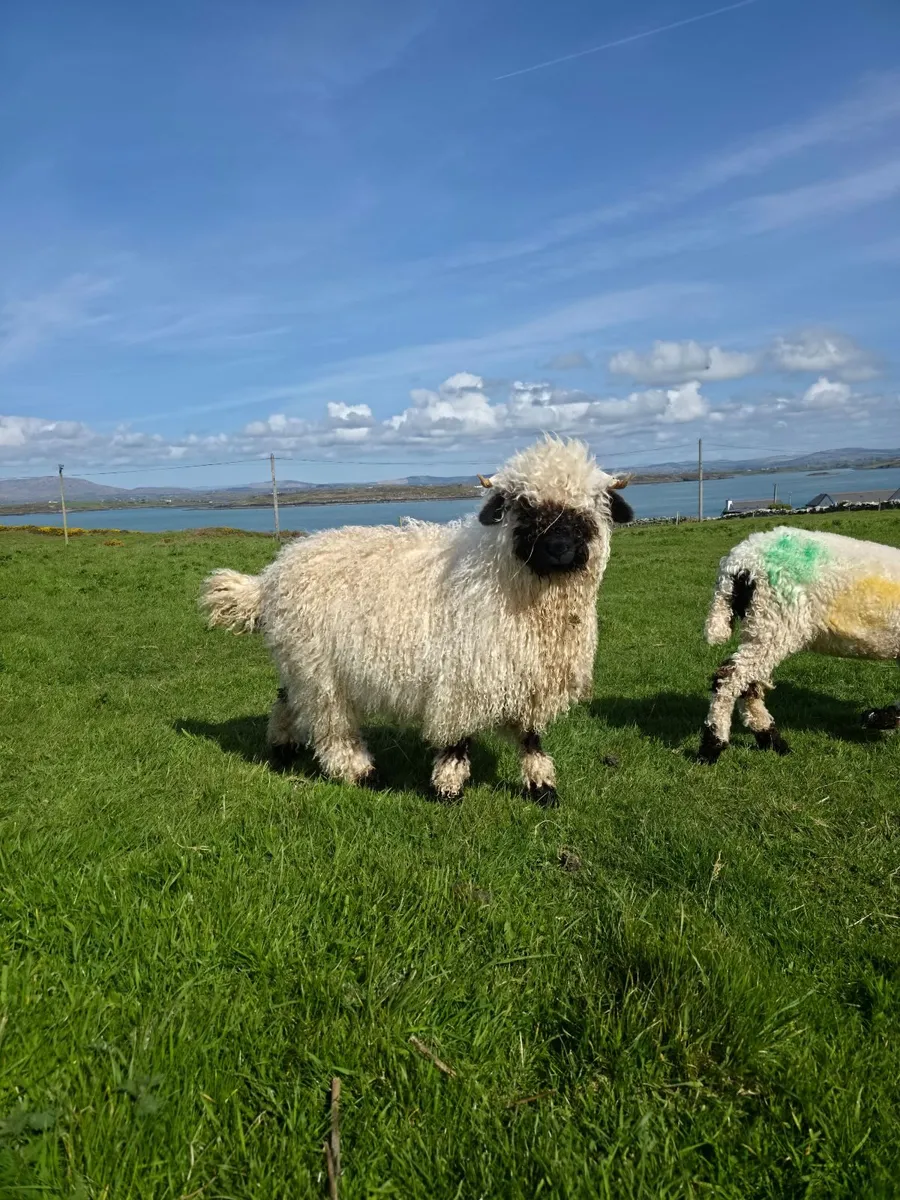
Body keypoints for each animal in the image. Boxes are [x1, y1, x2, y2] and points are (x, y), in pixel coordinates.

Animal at [199, 435, 634, 805]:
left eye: (587, 507)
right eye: (524, 505)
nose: (559, 548)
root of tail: (272, 575)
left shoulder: (530, 680)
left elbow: (531, 739)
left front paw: (542, 788)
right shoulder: (462, 678)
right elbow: (456, 740)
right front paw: (448, 789)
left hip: (299, 664)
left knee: (286, 700)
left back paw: (282, 747)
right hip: (321, 672)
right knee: (332, 728)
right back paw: (362, 773)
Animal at [699, 525, 900, 762]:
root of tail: (737, 564)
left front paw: (879, 717)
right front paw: (880, 718)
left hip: (761, 626)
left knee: (748, 684)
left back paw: (771, 741)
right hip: (775, 617)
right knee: (729, 678)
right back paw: (712, 747)